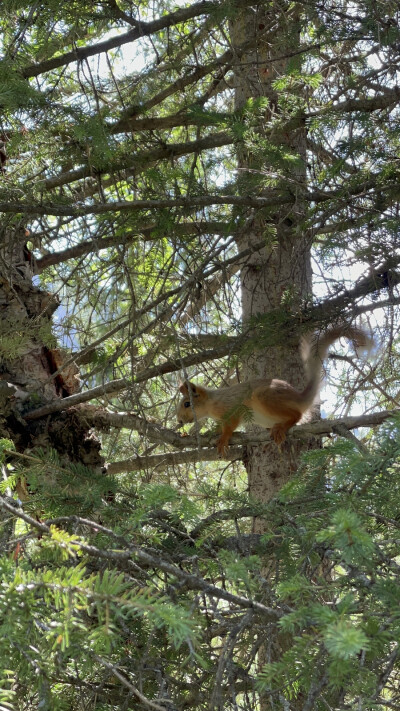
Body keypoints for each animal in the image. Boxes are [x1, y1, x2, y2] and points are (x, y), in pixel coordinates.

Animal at [177, 326, 374, 458]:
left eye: (187, 403)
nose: (179, 420)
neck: (212, 403)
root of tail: (299, 398)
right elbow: (218, 427)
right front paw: (208, 433)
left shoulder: (232, 407)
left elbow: (231, 425)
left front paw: (224, 438)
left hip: (265, 397)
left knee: (296, 415)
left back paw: (283, 427)